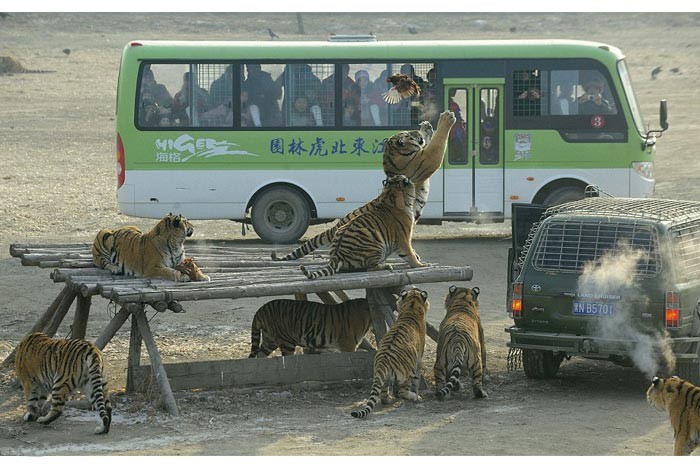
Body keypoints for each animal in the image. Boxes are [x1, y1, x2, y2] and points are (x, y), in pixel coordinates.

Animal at [348, 288, 426, 418]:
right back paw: (414, 396)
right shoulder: (419, 359)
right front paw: (417, 391)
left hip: (383, 378)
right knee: (402, 391)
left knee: (382, 394)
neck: (412, 306)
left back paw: (389, 399)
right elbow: (417, 379)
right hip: (407, 373)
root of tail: (383, 360)